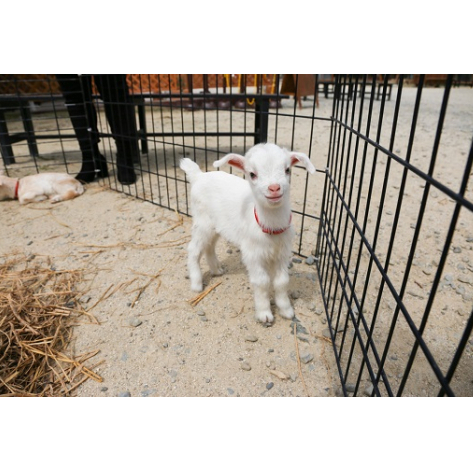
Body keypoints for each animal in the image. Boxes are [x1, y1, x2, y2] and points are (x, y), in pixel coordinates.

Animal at [179, 142, 316, 322]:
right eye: (252, 174)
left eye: (287, 170)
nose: (274, 188)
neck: (271, 227)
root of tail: (198, 176)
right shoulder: (253, 253)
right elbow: (262, 282)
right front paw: (264, 314)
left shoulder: (282, 253)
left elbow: (281, 281)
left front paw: (286, 310)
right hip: (202, 222)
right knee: (194, 249)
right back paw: (196, 284)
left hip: (216, 226)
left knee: (210, 246)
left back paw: (216, 270)